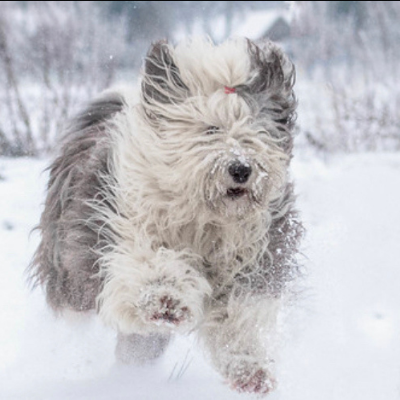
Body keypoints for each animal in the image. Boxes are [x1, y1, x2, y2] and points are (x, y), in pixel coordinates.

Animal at [28, 38, 304, 396]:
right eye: (211, 129)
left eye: (256, 131)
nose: (241, 169)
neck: (203, 214)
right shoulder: (124, 225)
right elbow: (148, 262)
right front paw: (165, 298)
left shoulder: (257, 252)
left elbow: (240, 312)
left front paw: (250, 370)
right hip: (69, 266)